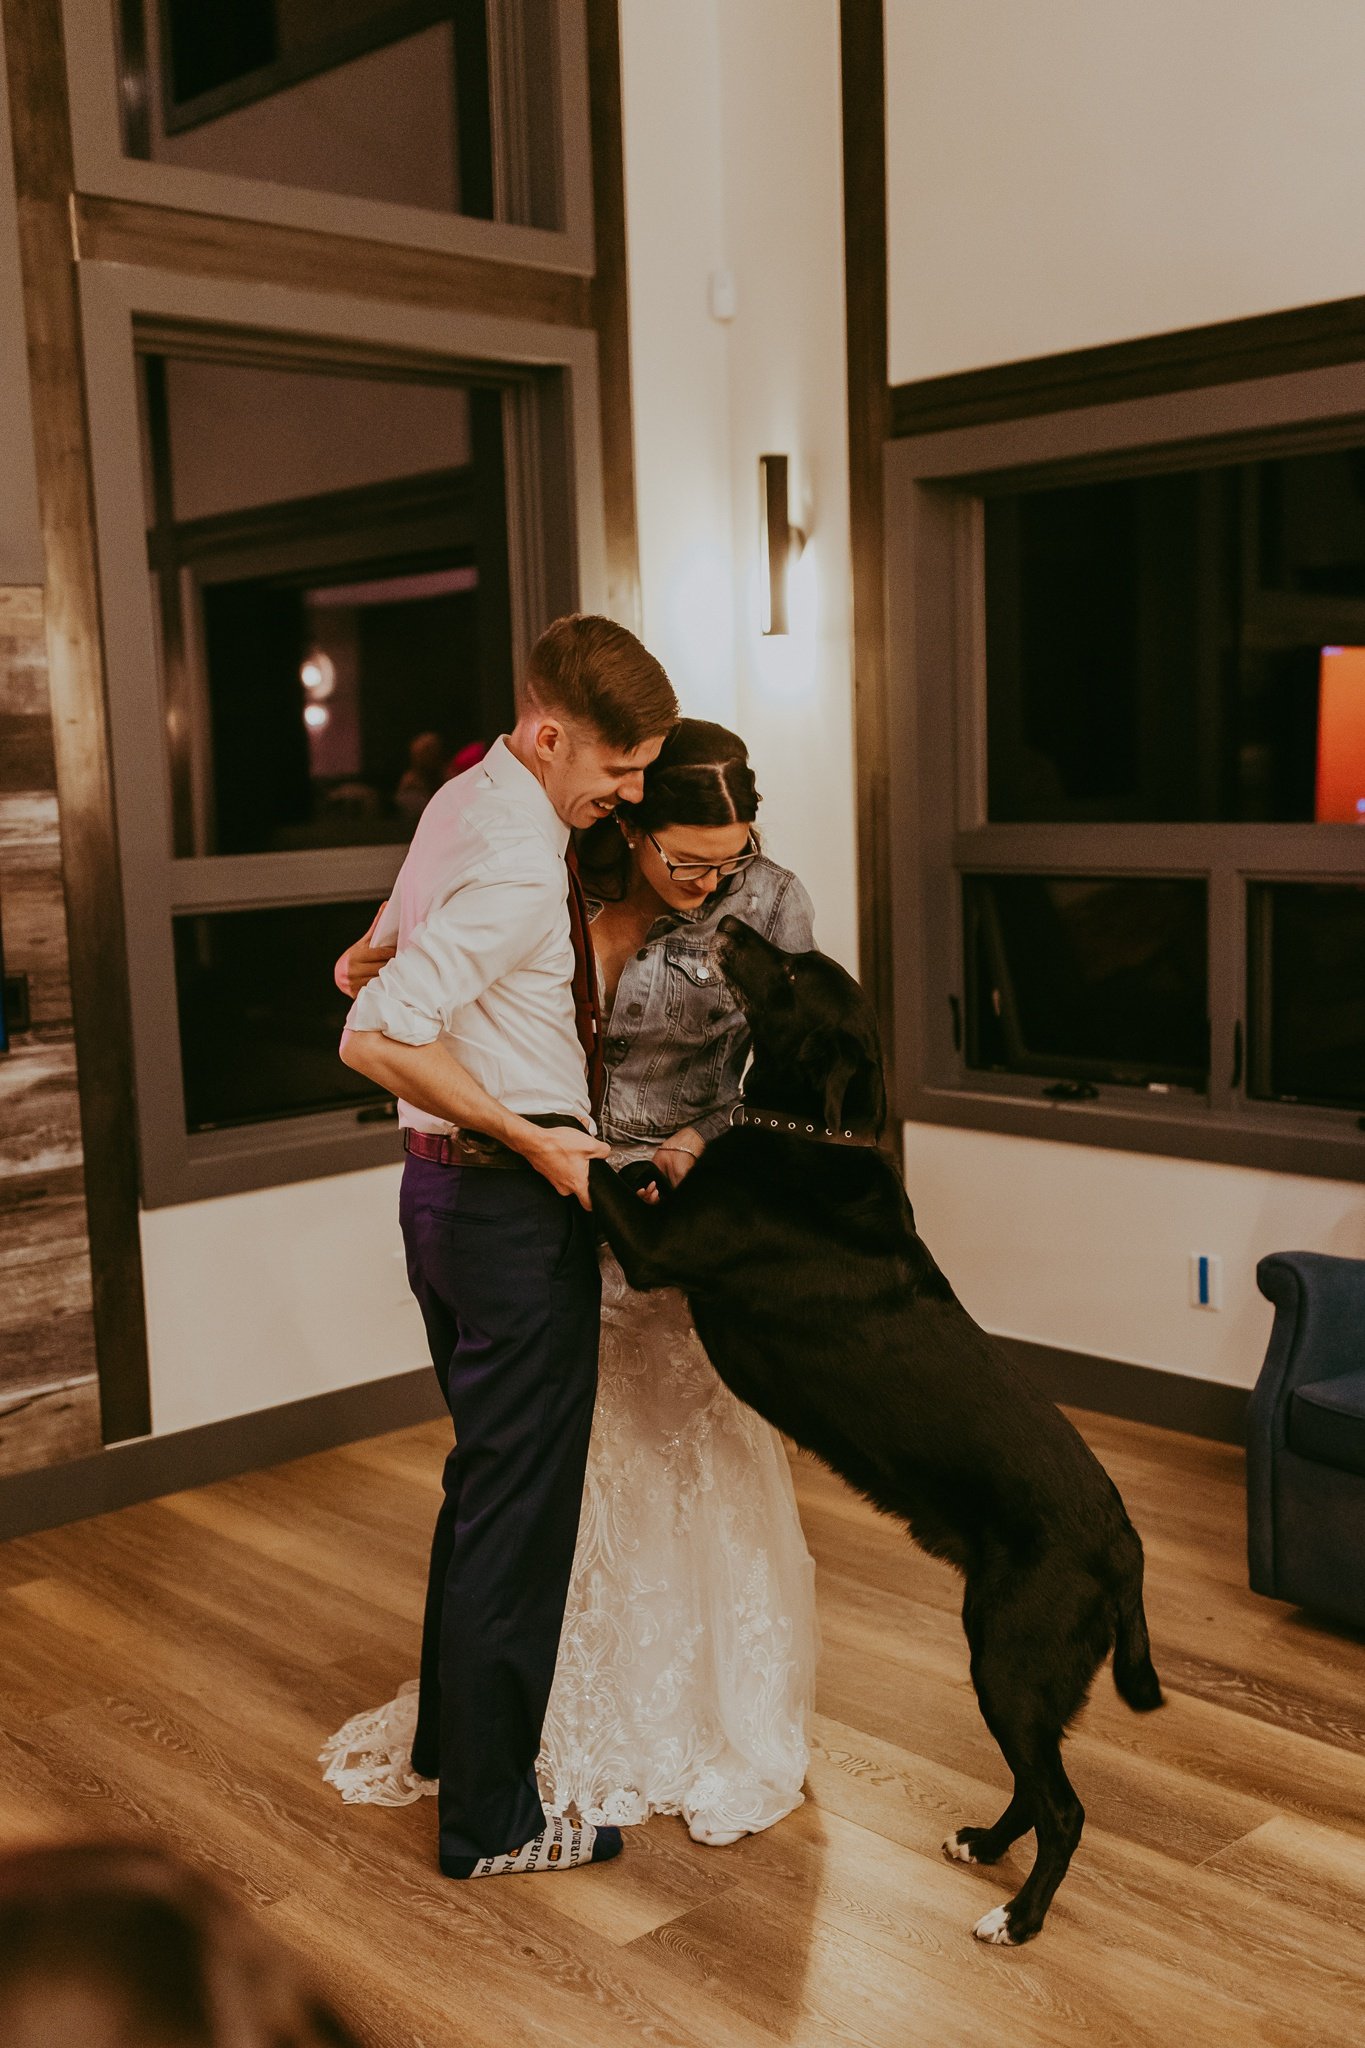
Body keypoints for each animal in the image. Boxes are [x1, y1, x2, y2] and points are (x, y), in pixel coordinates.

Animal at [589, 921, 1162, 1941]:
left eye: (787, 972)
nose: (728, 924)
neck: (807, 1135)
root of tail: (1122, 1546)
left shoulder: (657, 1252)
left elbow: (599, 1169)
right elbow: (641, 1169)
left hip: (1008, 1656)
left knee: (1063, 1805)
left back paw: (1017, 1918)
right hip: (1021, 1669)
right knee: (1037, 1784)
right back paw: (983, 1844)